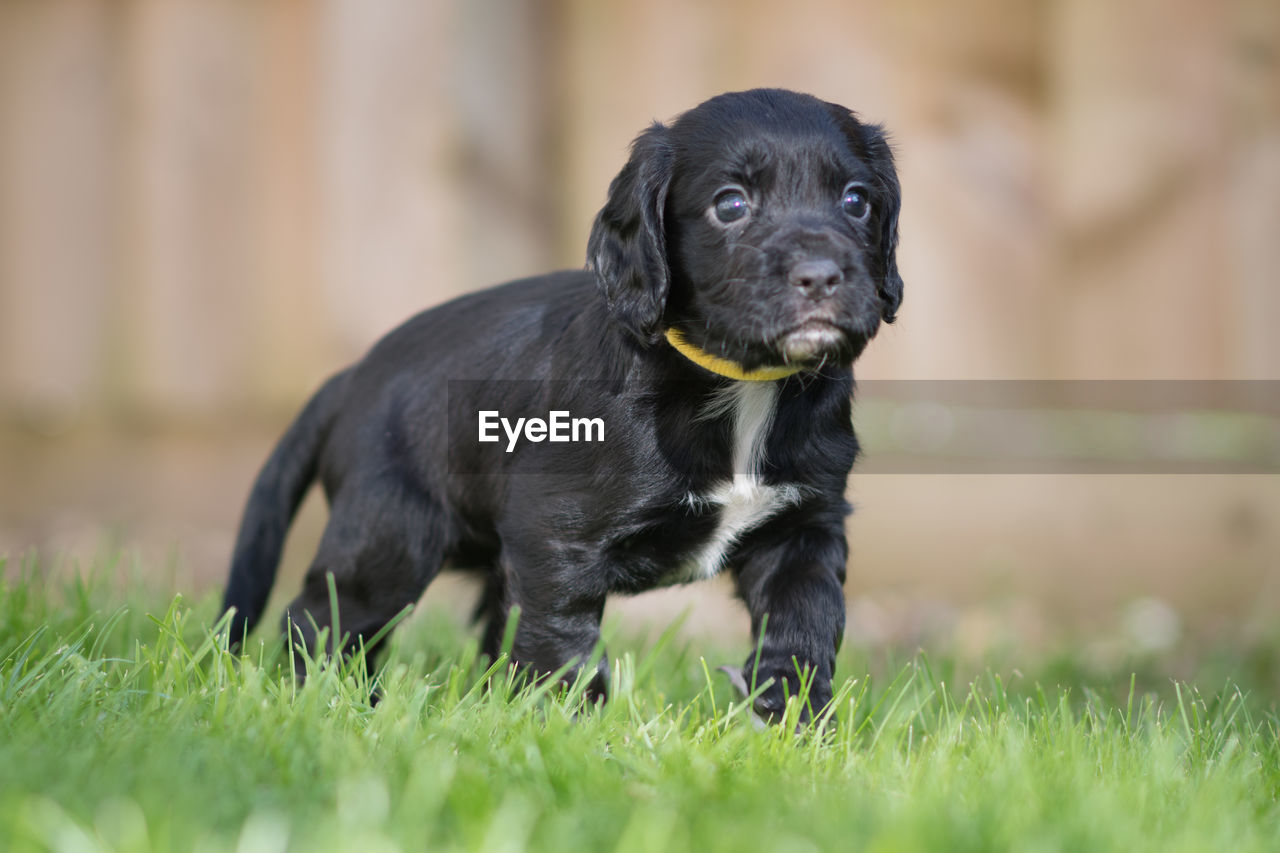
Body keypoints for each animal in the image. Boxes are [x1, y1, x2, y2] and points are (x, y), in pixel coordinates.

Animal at [220, 87, 901, 717]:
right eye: (730, 204)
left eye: (856, 201)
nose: (822, 275)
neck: (739, 384)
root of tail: (350, 375)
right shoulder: (555, 533)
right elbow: (564, 637)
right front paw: (571, 730)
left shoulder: (804, 528)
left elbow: (803, 631)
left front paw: (795, 727)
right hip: (389, 534)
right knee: (320, 620)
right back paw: (346, 707)